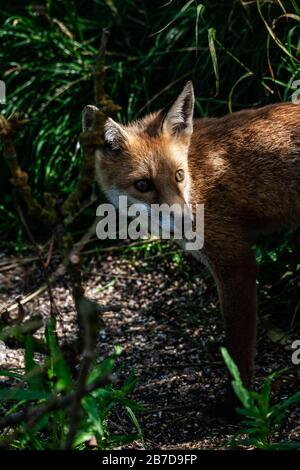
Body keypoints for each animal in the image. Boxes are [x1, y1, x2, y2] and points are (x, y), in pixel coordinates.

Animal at [83, 81, 300, 396]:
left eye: (178, 175)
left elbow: (239, 351)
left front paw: (240, 400)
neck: (198, 179)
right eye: (143, 185)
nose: (188, 222)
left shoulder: (236, 265)